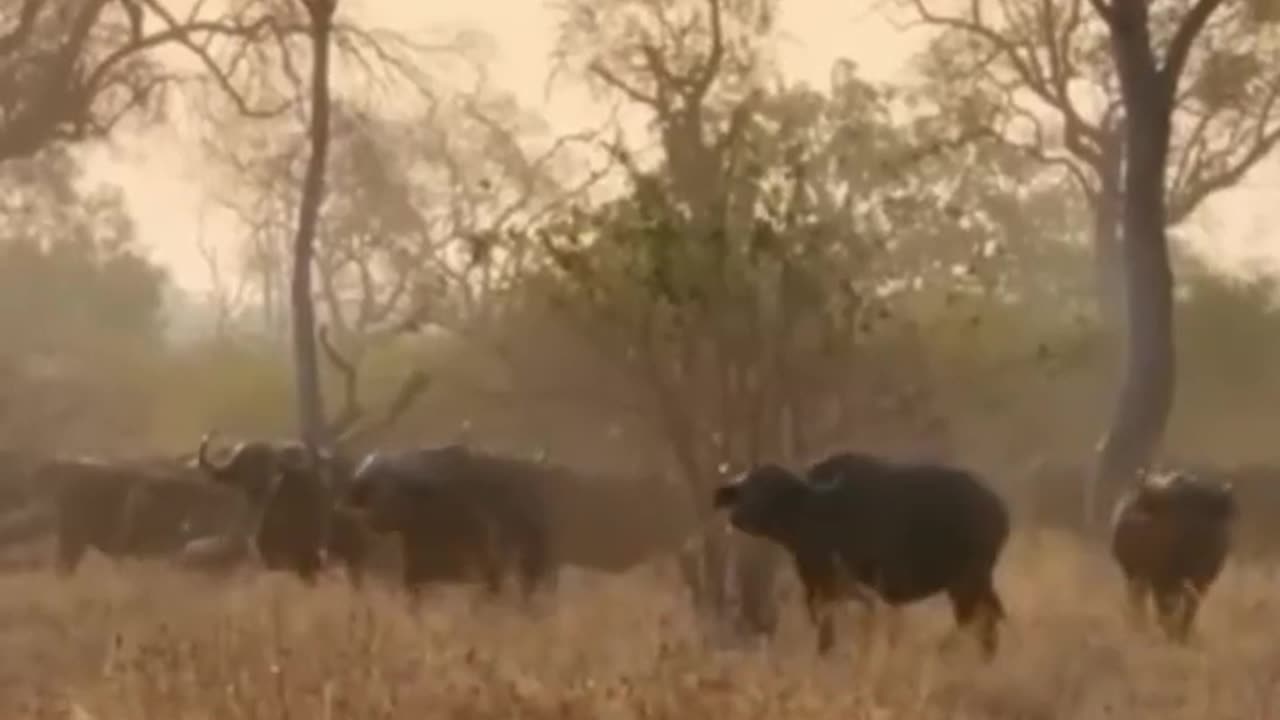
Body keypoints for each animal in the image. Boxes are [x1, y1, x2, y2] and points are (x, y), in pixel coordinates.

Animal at [711, 450, 1008, 661]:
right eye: (746, 488)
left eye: (772, 490)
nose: (739, 517)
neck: (814, 509)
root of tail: (997, 506)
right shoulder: (813, 579)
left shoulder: (836, 581)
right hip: (978, 582)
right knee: (989, 618)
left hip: (967, 582)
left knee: (977, 621)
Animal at [1105, 468, 1233, 640]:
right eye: (1174, 516)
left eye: (1205, 521)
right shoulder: (1160, 578)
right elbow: (1165, 607)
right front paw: (1170, 631)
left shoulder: (1202, 580)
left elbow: (1189, 609)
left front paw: (1182, 634)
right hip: (1134, 573)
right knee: (1138, 598)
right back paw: (1140, 623)